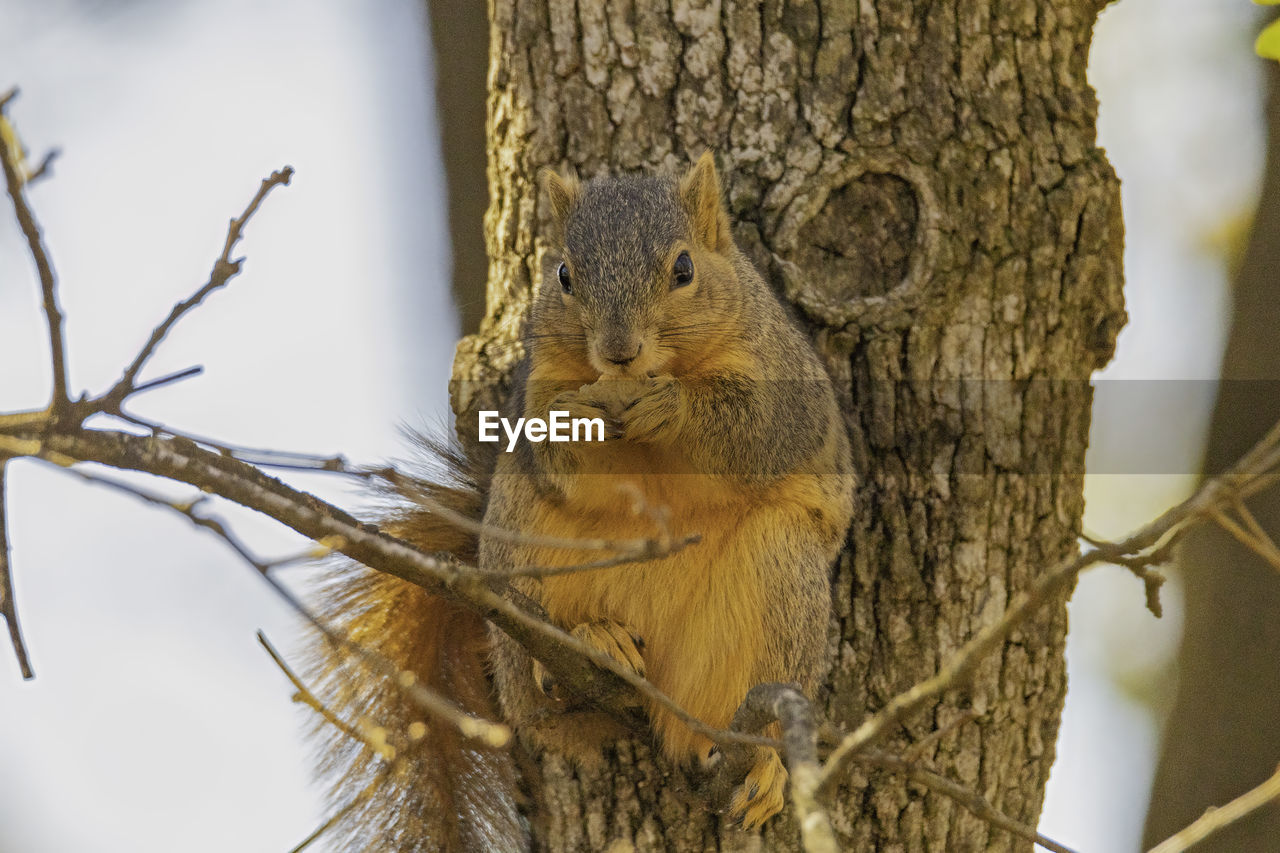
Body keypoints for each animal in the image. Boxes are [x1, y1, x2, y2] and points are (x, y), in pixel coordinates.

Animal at [304, 154, 855, 850]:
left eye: (684, 269)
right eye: (564, 275)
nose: (619, 352)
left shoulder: (784, 384)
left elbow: (759, 429)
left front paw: (672, 406)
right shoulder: (541, 383)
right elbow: (556, 452)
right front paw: (581, 419)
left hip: (779, 577)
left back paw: (761, 766)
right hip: (518, 552)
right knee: (540, 701)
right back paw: (591, 647)